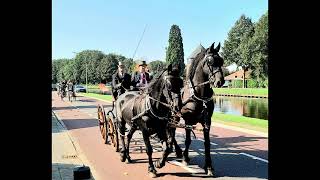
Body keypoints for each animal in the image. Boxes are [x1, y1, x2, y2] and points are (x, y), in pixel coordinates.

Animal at [176, 42, 224, 176]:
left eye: (221, 60)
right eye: (210, 61)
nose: (220, 81)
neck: (200, 95)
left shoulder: (207, 121)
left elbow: (207, 143)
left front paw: (209, 166)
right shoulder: (188, 120)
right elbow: (188, 140)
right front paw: (185, 158)